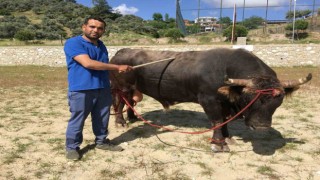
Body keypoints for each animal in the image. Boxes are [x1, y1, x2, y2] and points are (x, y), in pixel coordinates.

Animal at [110, 47, 312, 152]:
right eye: (248, 97)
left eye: (278, 99)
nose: (261, 127)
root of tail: (121, 51)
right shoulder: (209, 100)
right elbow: (216, 120)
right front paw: (219, 143)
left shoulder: (225, 103)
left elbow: (225, 121)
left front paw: (227, 137)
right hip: (121, 88)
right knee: (119, 103)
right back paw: (121, 122)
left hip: (132, 89)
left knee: (130, 102)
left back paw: (133, 118)